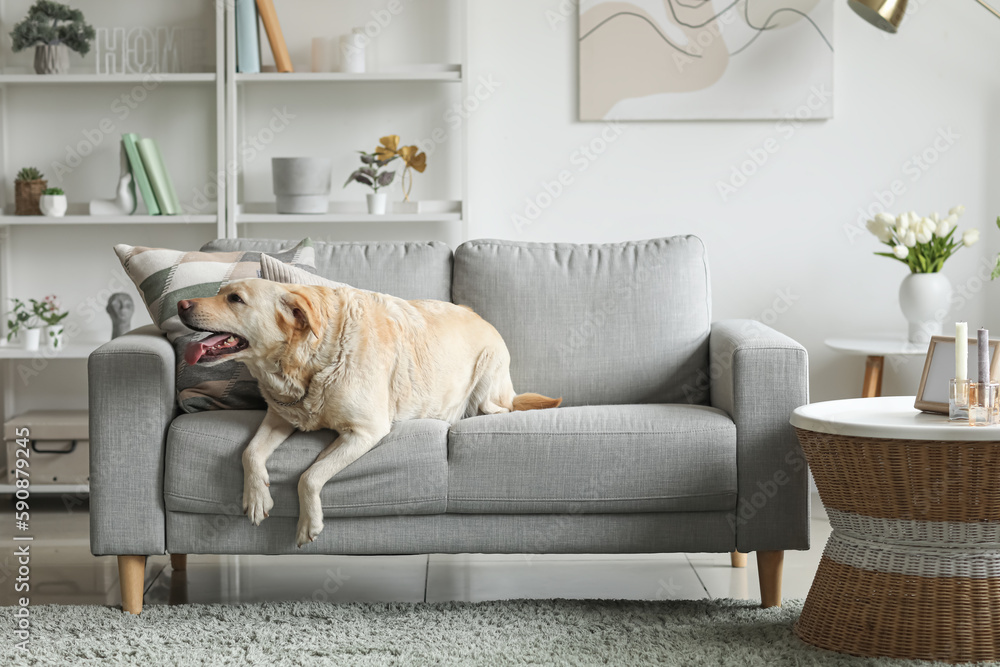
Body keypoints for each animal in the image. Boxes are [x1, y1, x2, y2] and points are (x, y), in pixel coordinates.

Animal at [176, 280, 560, 544]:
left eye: (235, 299)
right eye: (221, 291)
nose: (180, 303)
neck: (309, 360)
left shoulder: (365, 431)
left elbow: (309, 475)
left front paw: (308, 522)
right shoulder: (282, 416)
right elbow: (250, 452)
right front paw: (257, 497)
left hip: (488, 380)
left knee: (497, 409)